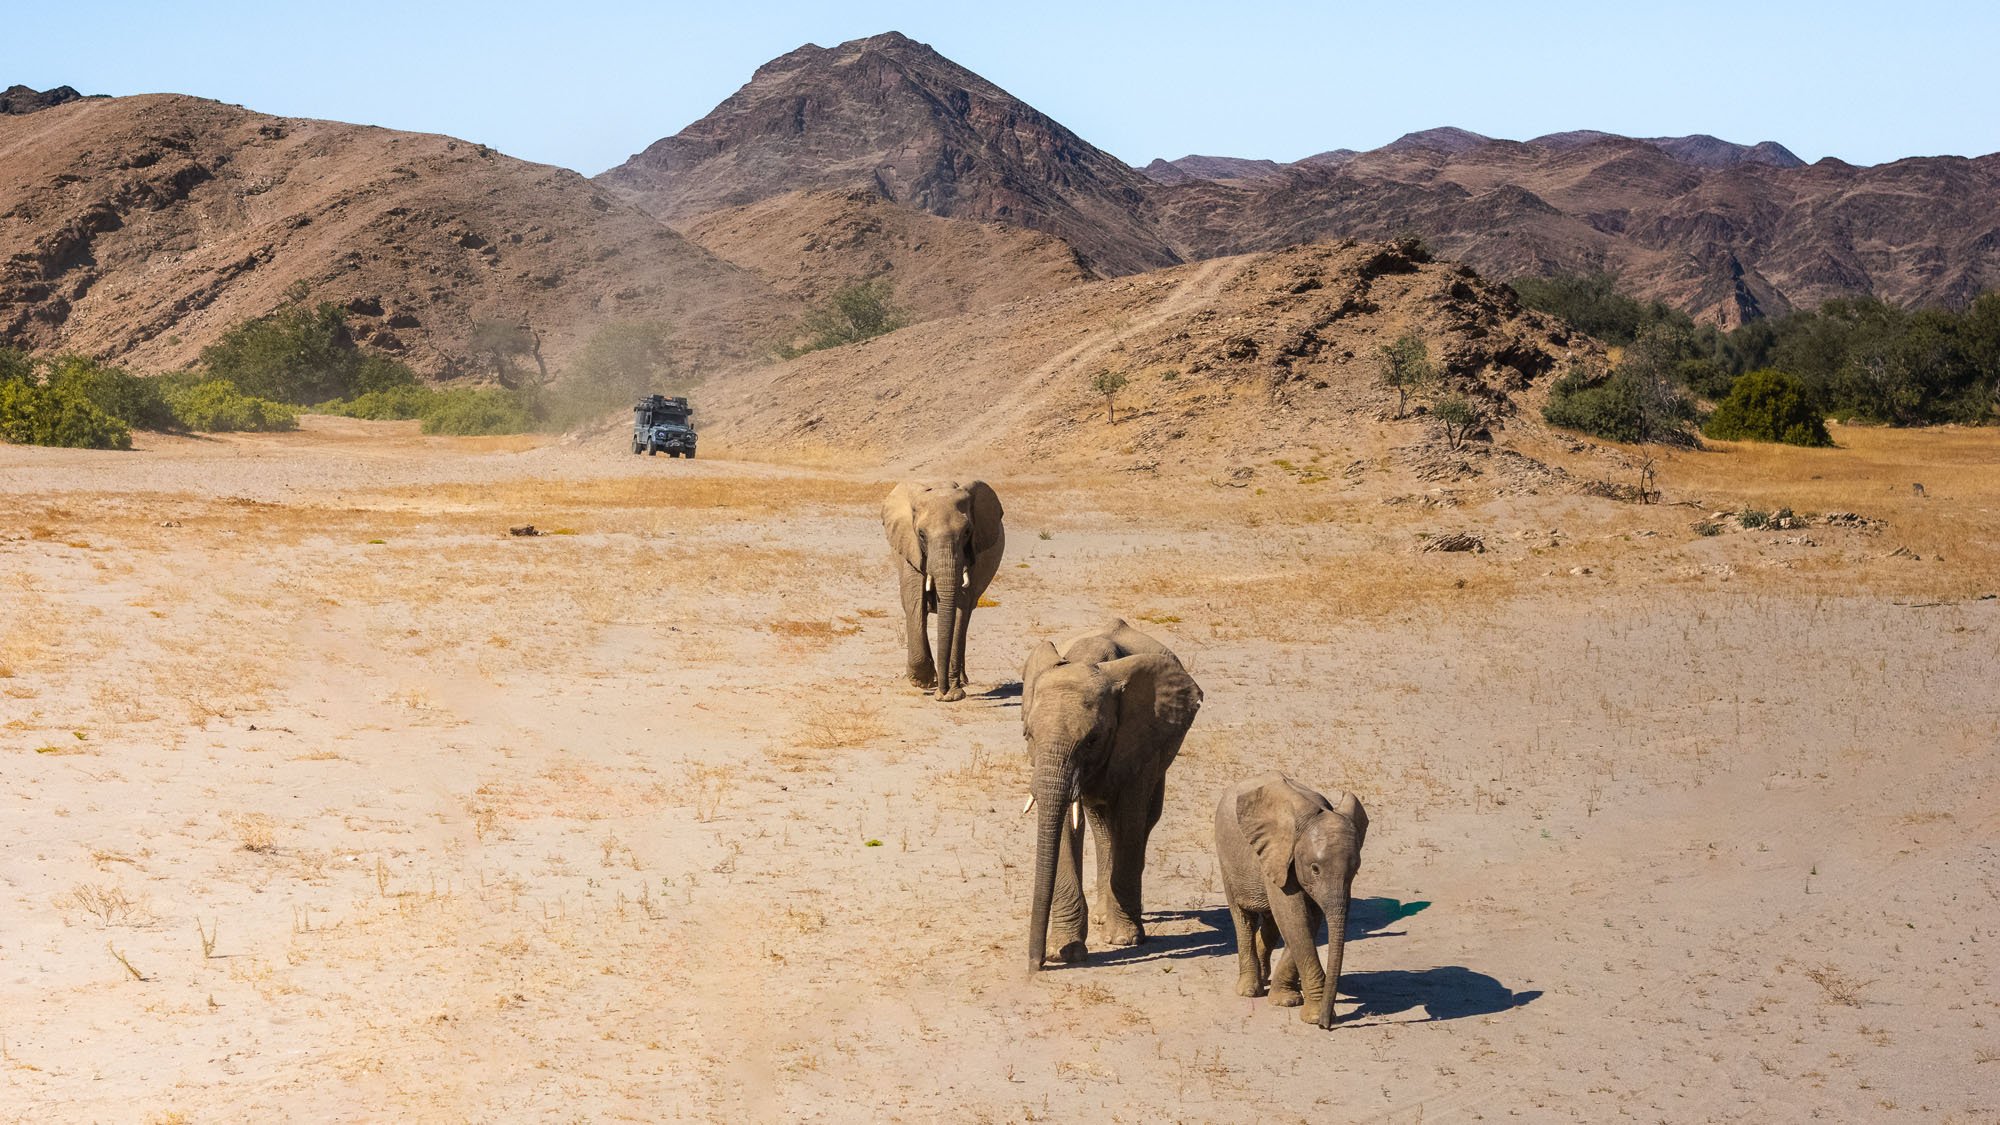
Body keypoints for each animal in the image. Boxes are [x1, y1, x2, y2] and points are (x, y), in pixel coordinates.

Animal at [882, 481, 1004, 702]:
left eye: (967, 532)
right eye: (921, 534)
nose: (943, 692)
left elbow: (961, 608)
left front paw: (953, 693)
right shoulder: (910, 549)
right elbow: (914, 601)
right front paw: (922, 681)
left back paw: (962, 680)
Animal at [1020, 625, 1202, 970]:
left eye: (1092, 740)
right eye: (1029, 735)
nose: (1036, 964)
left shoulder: (1141, 739)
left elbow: (1130, 820)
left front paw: (1124, 940)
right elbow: (1064, 826)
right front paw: (1065, 951)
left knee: (1143, 822)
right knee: (1101, 822)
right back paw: (1103, 917)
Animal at [1214, 772, 1368, 1028]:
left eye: (1355, 870)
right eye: (1315, 868)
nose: (1326, 1025)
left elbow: (1306, 920)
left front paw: (1286, 1000)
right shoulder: (1279, 854)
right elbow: (1294, 917)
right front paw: (1312, 1014)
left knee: (1271, 922)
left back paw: (1265, 976)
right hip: (1226, 854)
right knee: (1243, 917)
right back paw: (1249, 989)